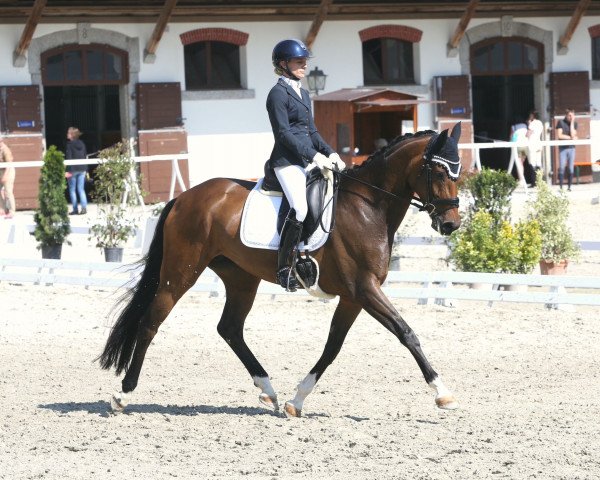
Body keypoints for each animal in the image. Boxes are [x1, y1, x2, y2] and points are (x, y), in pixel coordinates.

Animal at [98, 123, 464, 416]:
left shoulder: (353, 296)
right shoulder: (364, 288)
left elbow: (332, 347)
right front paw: (443, 393)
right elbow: (406, 332)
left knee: (230, 329)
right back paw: (123, 394)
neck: (368, 207)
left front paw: (296, 401)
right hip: (180, 273)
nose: (451, 224)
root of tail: (184, 197)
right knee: (150, 322)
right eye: (440, 173)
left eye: (458, 173)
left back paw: (269, 392)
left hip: (240, 278)